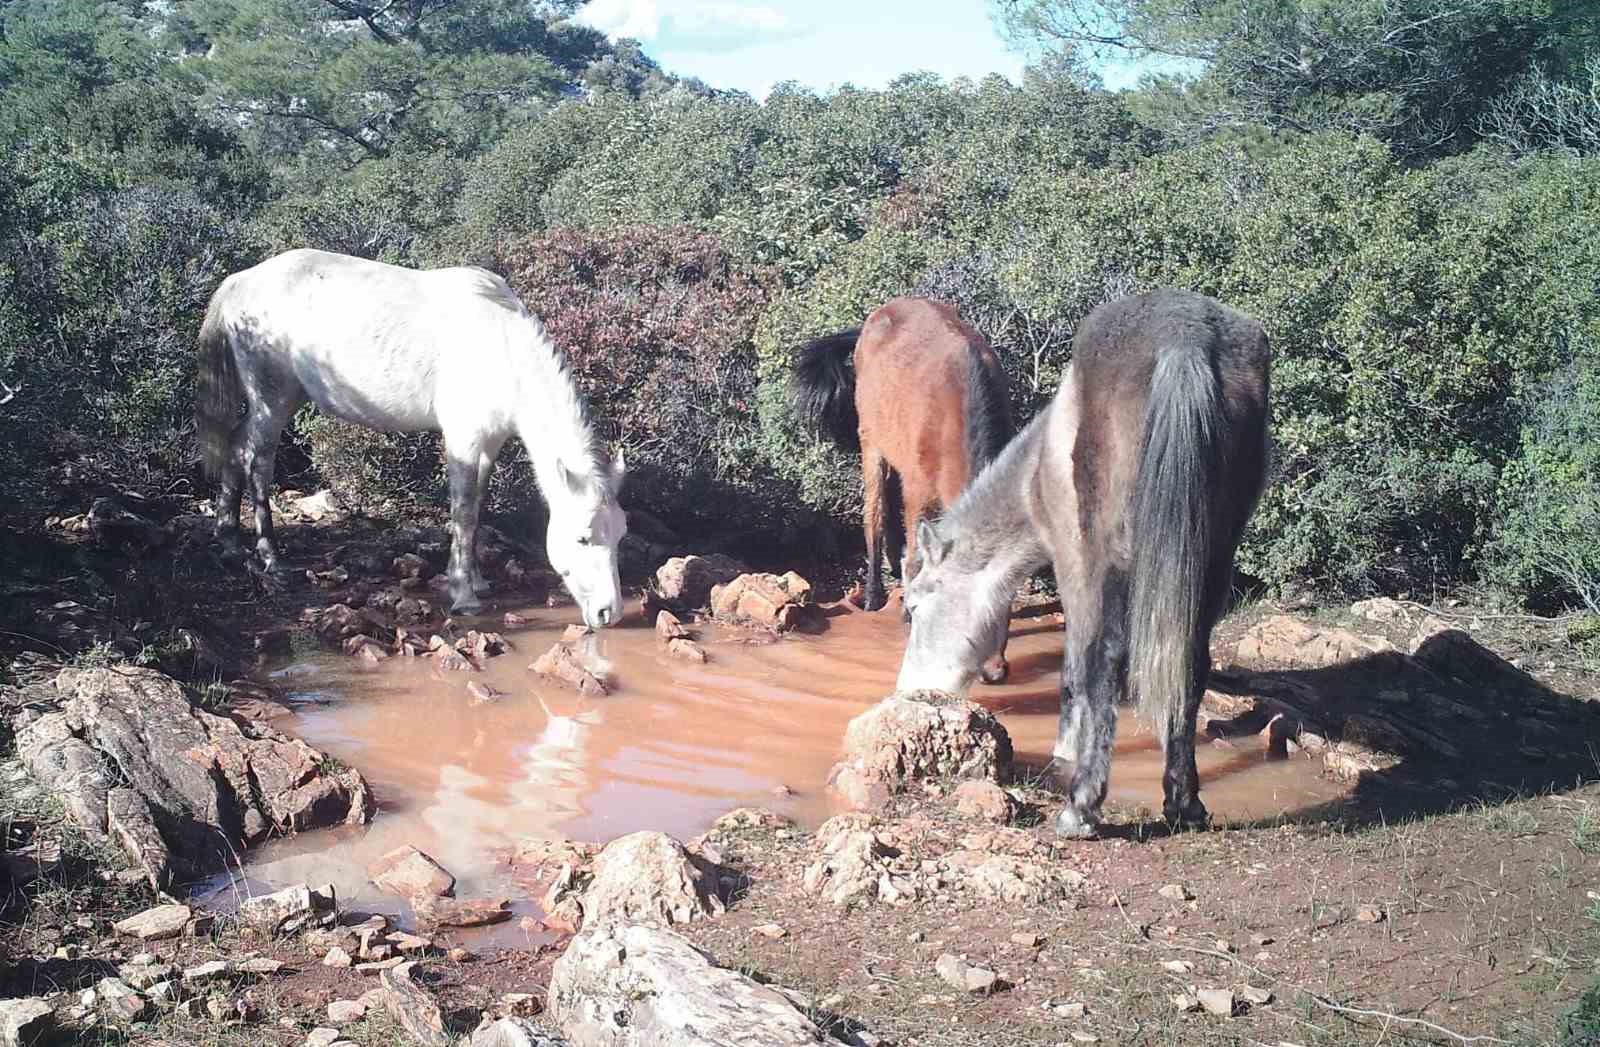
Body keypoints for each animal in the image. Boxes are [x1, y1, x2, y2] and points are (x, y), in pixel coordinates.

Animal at [196, 248, 627, 624]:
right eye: (583, 538)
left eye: (620, 534)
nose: (609, 613)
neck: (500, 348)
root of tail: (240, 281)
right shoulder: (463, 441)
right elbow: (464, 512)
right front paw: (463, 594)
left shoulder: (488, 445)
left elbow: (477, 507)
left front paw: (478, 581)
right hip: (273, 397)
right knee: (258, 458)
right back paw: (271, 558)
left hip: (285, 397)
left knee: (236, 445)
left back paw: (229, 540)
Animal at [790, 299, 1011, 685]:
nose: (994, 671)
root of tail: (877, 316)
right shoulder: (919, 491)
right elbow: (915, 554)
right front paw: (911, 614)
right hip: (871, 443)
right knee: (874, 515)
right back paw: (873, 595)